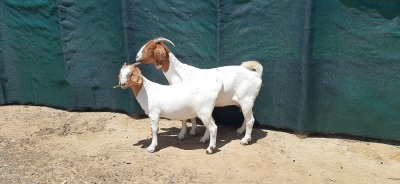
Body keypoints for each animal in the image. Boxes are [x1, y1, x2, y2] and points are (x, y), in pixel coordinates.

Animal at [136, 37, 264, 145]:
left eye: (150, 48)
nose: (137, 57)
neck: (180, 73)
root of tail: (256, 74)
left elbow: (184, 118)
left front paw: (182, 134)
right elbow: (191, 117)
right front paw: (193, 131)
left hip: (246, 99)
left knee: (250, 120)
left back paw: (245, 140)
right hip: (244, 101)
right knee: (246, 118)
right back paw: (240, 131)